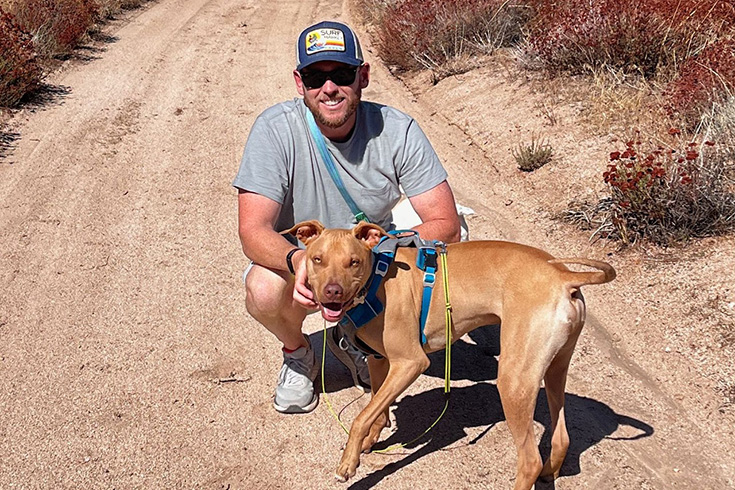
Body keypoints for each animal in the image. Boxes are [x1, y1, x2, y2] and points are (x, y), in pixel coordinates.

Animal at [284, 220, 620, 488]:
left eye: (353, 262)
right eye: (317, 259)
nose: (333, 291)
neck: (376, 283)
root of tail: (563, 277)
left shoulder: (410, 362)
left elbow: (360, 417)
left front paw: (348, 462)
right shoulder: (381, 362)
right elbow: (376, 409)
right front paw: (370, 440)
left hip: (513, 382)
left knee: (529, 460)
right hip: (553, 370)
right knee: (561, 437)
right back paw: (550, 472)